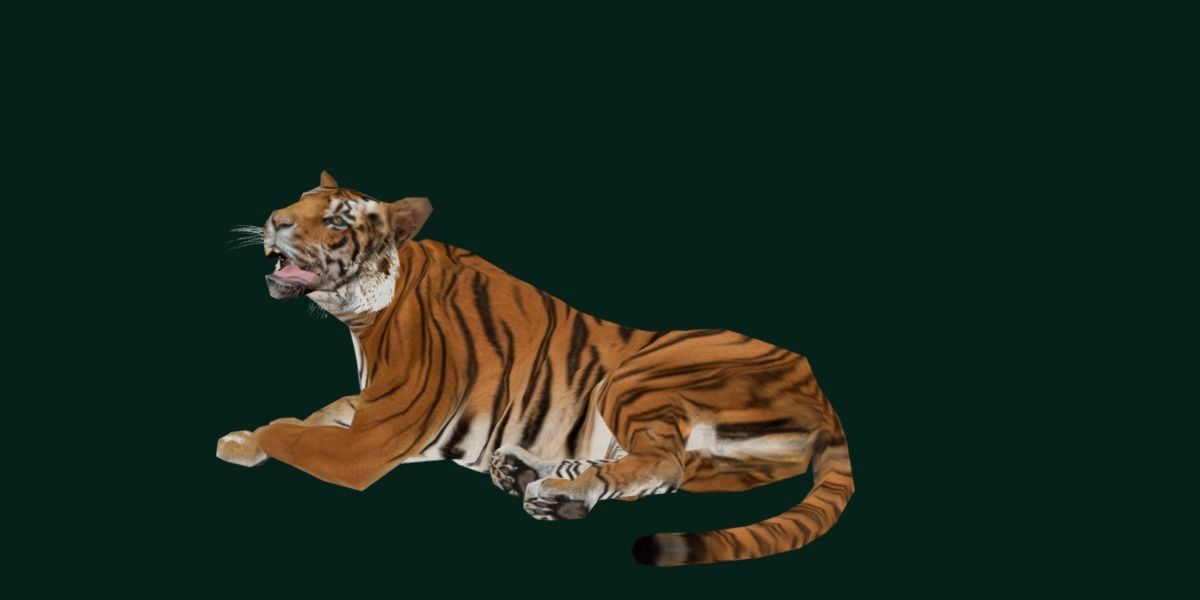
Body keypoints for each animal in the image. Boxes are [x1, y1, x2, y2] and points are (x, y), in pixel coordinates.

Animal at [217, 171, 855, 566]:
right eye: (297, 201)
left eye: (337, 220)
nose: (273, 220)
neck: (364, 315)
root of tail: (821, 391)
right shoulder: (367, 408)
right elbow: (316, 413)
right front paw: (242, 438)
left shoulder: (371, 442)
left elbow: (295, 433)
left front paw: (248, 442)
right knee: (657, 471)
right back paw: (534, 478)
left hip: (638, 375)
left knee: (662, 464)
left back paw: (552, 488)